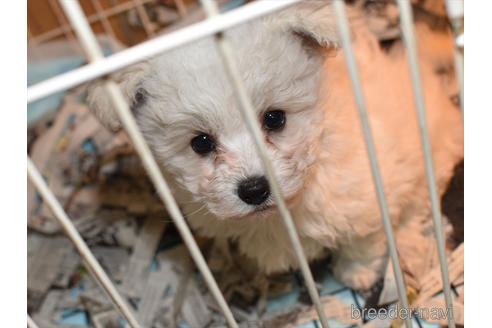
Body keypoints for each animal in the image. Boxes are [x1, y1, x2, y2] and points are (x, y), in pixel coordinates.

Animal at [87, 2, 462, 290]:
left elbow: (363, 243)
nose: (254, 189)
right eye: (201, 142)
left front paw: (356, 274)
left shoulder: (370, 195)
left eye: (275, 118)